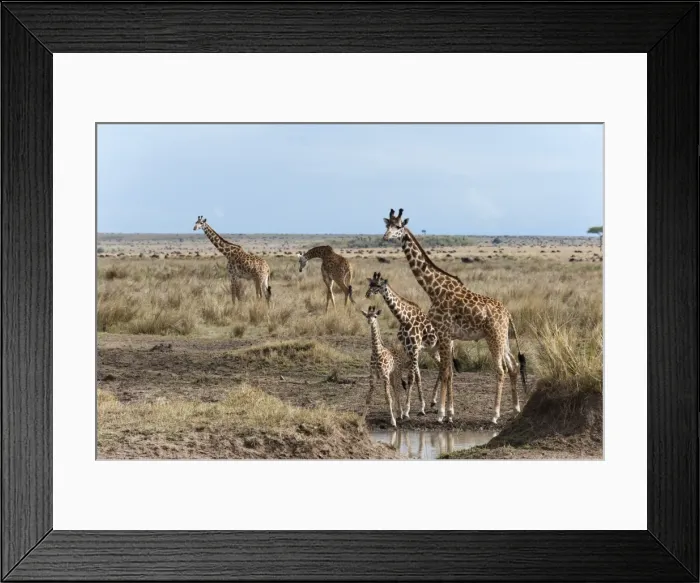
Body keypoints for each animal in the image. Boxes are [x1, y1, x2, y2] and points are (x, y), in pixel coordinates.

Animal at [365, 271, 455, 418]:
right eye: (370, 283)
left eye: (378, 285)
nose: (367, 294)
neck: (404, 318)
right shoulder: (409, 349)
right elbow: (416, 376)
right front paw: (421, 407)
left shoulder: (414, 348)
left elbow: (411, 377)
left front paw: (407, 410)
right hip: (433, 350)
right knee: (442, 368)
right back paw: (433, 402)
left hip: (447, 347)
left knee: (449, 371)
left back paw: (449, 408)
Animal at [382, 208, 528, 424]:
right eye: (387, 225)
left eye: (398, 226)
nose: (385, 237)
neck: (433, 289)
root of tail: (508, 313)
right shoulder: (448, 336)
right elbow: (448, 371)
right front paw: (449, 412)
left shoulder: (443, 333)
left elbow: (444, 371)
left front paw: (441, 414)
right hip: (503, 339)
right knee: (513, 365)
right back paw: (516, 410)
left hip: (493, 337)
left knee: (501, 370)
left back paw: (495, 415)